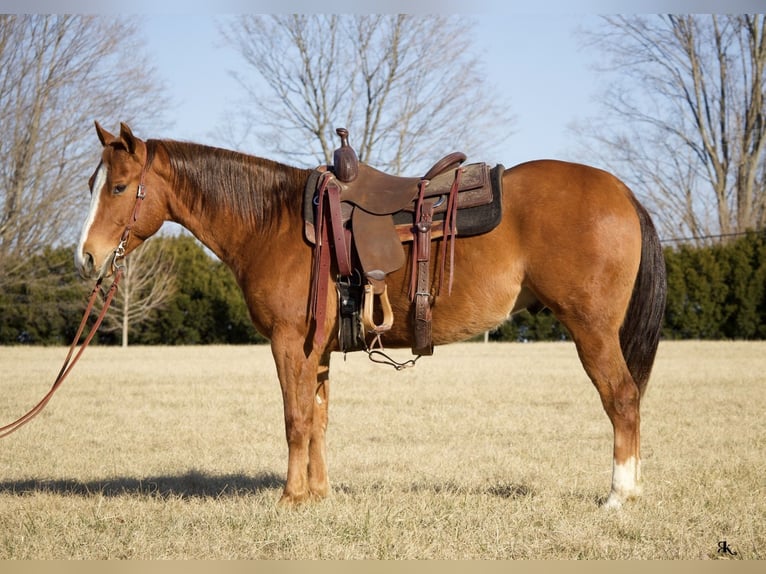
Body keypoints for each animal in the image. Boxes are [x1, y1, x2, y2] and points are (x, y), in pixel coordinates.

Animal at [76, 124, 664, 510]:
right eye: (92, 185)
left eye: (119, 187)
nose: (86, 257)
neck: (274, 222)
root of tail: (622, 191)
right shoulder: (315, 348)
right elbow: (317, 419)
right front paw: (318, 494)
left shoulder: (288, 343)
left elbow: (294, 419)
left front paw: (290, 498)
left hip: (592, 330)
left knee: (622, 399)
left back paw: (620, 495)